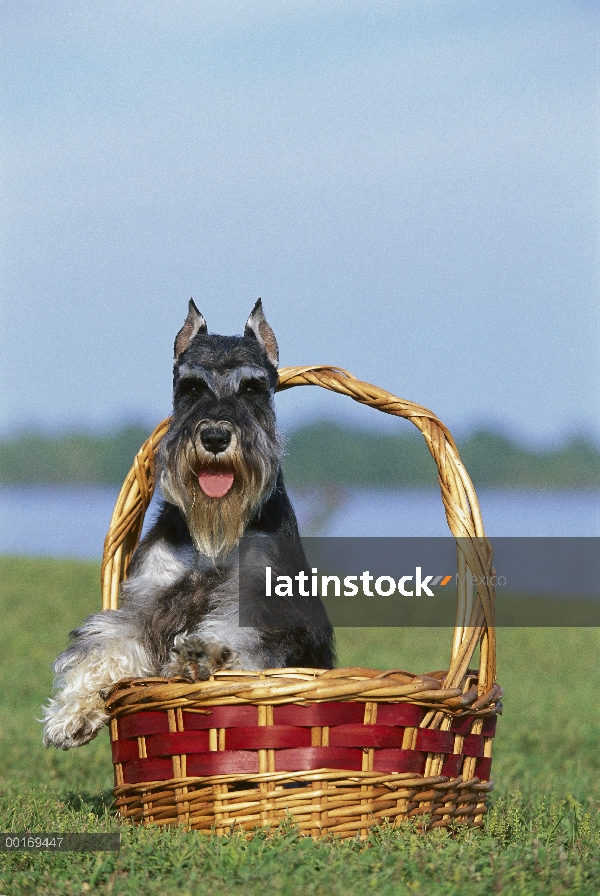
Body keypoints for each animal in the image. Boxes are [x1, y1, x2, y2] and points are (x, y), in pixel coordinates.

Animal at [42, 300, 336, 748]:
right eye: (192, 387)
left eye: (252, 388)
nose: (214, 437)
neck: (211, 540)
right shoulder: (145, 606)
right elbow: (105, 644)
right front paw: (72, 714)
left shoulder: (263, 605)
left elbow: (243, 637)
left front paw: (203, 653)